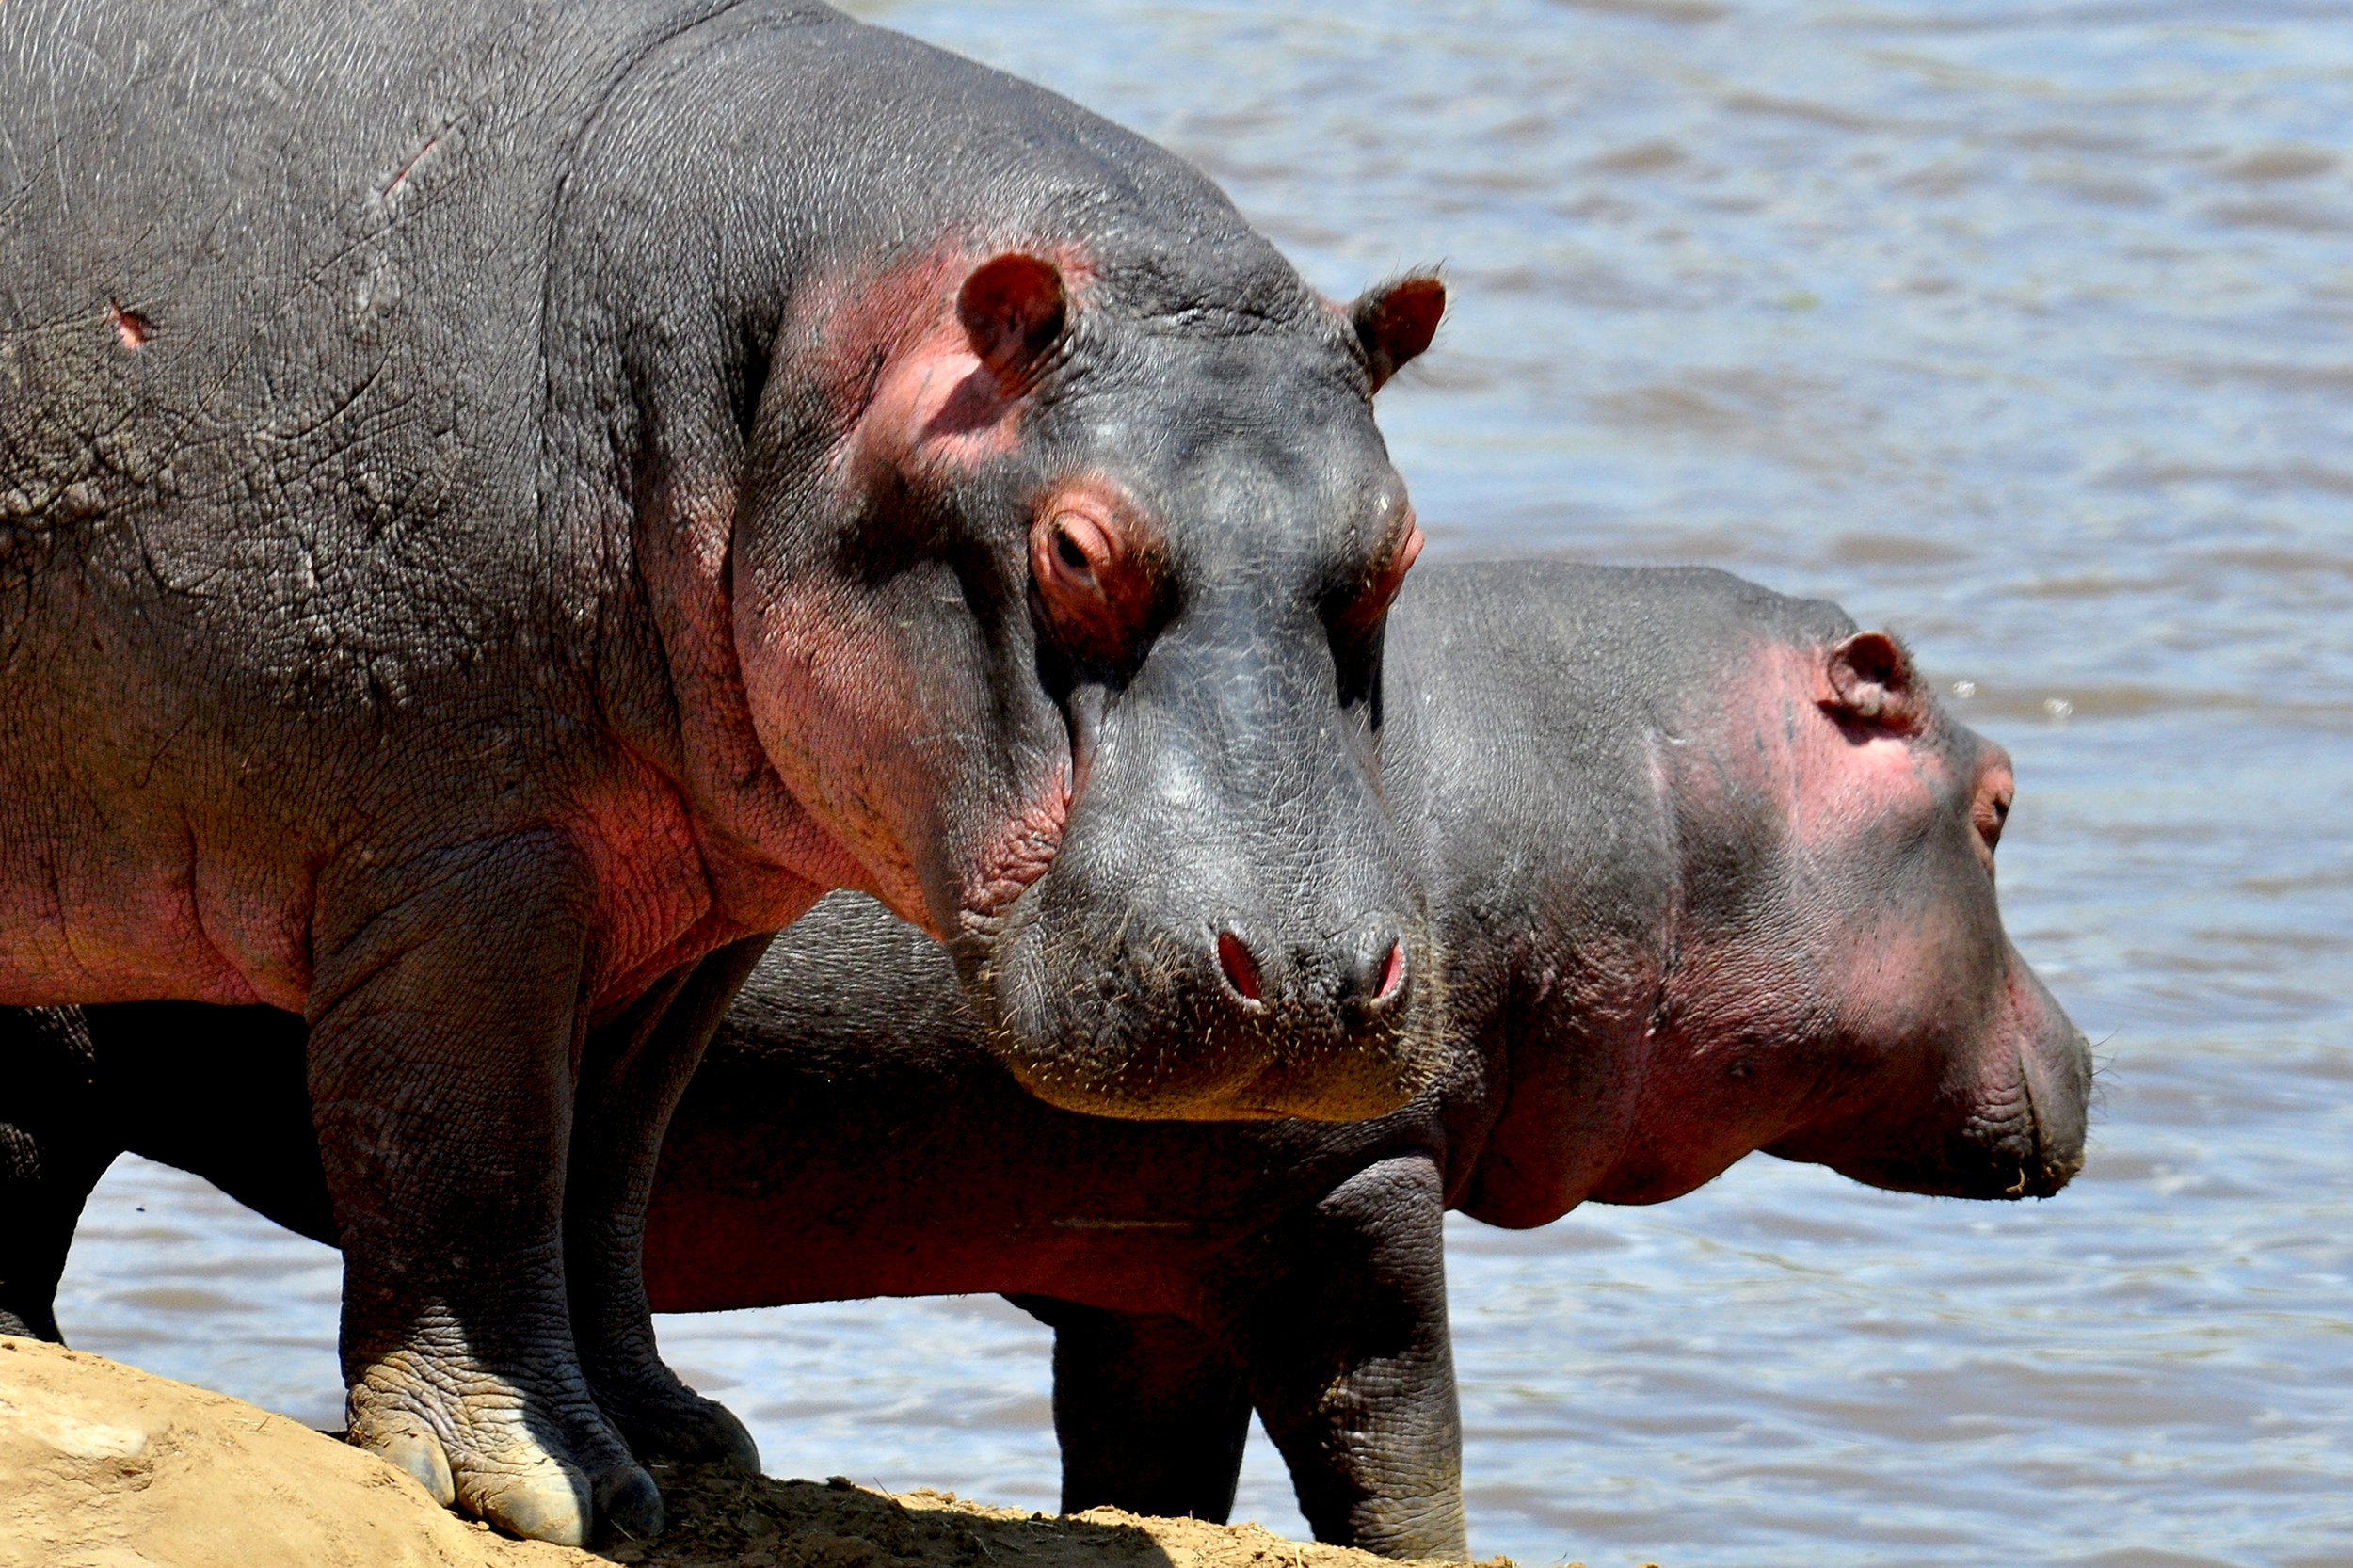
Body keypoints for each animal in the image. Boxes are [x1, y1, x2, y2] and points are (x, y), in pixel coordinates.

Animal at [0, 0, 1440, 1534]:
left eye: (1401, 542)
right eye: (1072, 548)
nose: (1307, 975)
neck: (802, 343)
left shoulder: (684, 908)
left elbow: (609, 1163)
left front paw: (675, 1436)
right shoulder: (466, 867)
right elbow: (475, 1142)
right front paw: (547, 1485)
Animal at [4, 557, 2099, 1553]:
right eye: (1998, 801)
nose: (2096, 1059)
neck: (1638, 786)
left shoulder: (1157, 1266)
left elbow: (1158, 1475)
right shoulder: (1351, 1187)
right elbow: (1395, 1427)